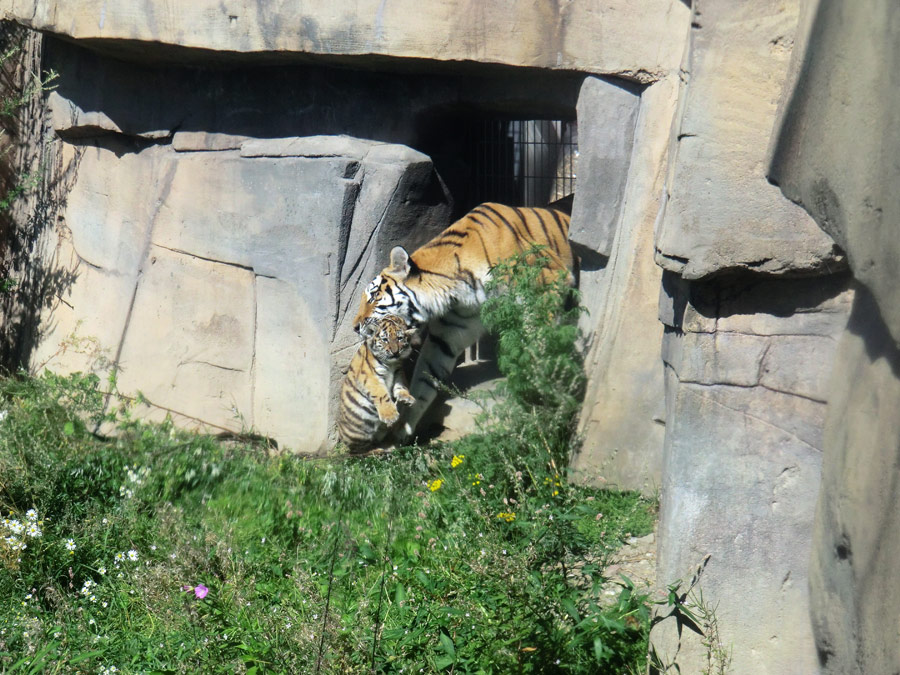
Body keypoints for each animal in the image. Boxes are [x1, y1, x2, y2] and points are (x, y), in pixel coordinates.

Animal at [354, 203, 572, 440]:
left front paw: (544, 410)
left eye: (374, 296)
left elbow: (540, 351)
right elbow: (424, 379)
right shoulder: (448, 335)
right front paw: (404, 426)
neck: (457, 288)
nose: (355, 327)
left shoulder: (547, 283)